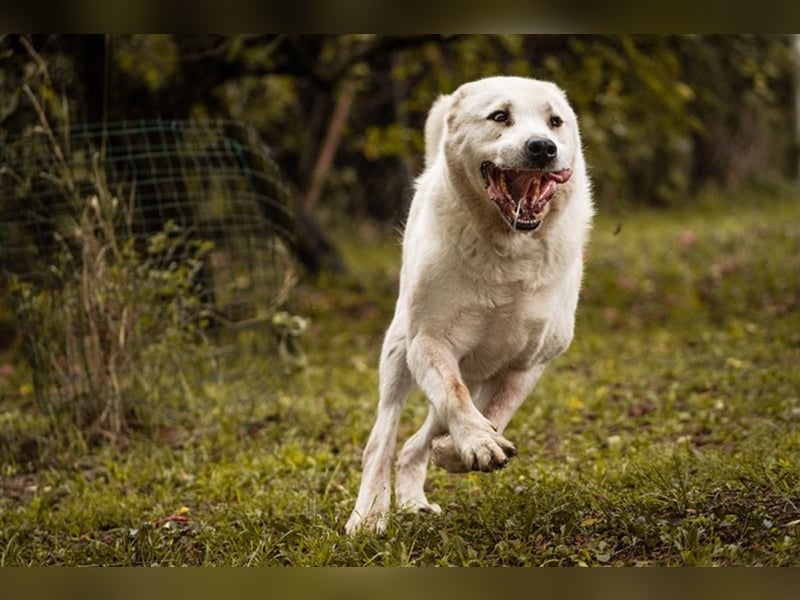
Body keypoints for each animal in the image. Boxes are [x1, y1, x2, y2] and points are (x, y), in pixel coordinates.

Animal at [346, 76, 592, 536]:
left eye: (555, 121)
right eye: (500, 116)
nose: (542, 147)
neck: (509, 248)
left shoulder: (527, 365)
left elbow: (495, 412)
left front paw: (460, 449)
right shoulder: (429, 343)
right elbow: (453, 395)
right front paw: (477, 442)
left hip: (475, 369)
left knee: (414, 443)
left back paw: (415, 499)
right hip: (398, 353)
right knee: (383, 440)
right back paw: (370, 515)